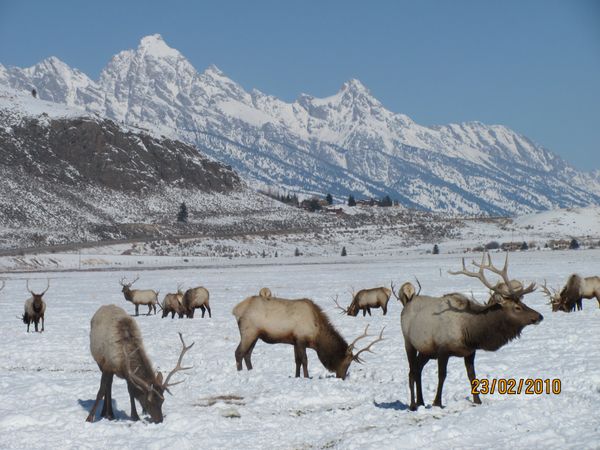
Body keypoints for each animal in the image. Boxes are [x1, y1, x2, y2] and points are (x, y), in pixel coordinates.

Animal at [232, 296, 382, 380]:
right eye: (347, 362)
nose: (342, 377)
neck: (317, 336)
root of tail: (236, 310)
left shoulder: (294, 341)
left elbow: (297, 361)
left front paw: (297, 376)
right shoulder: (301, 339)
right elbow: (304, 360)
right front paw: (306, 376)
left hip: (255, 335)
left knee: (247, 354)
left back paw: (251, 372)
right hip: (248, 332)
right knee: (239, 352)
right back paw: (240, 373)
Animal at [400, 253, 540, 412]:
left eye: (523, 303)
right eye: (517, 308)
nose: (539, 316)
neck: (470, 331)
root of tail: (406, 305)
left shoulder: (470, 351)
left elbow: (472, 375)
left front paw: (477, 401)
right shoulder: (443, 349)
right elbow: (442, 375)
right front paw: (437, 403)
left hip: (426, 350)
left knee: (418, 369)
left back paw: (421, 401)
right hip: (409, 342)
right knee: (412, 370)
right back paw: (413, 404)